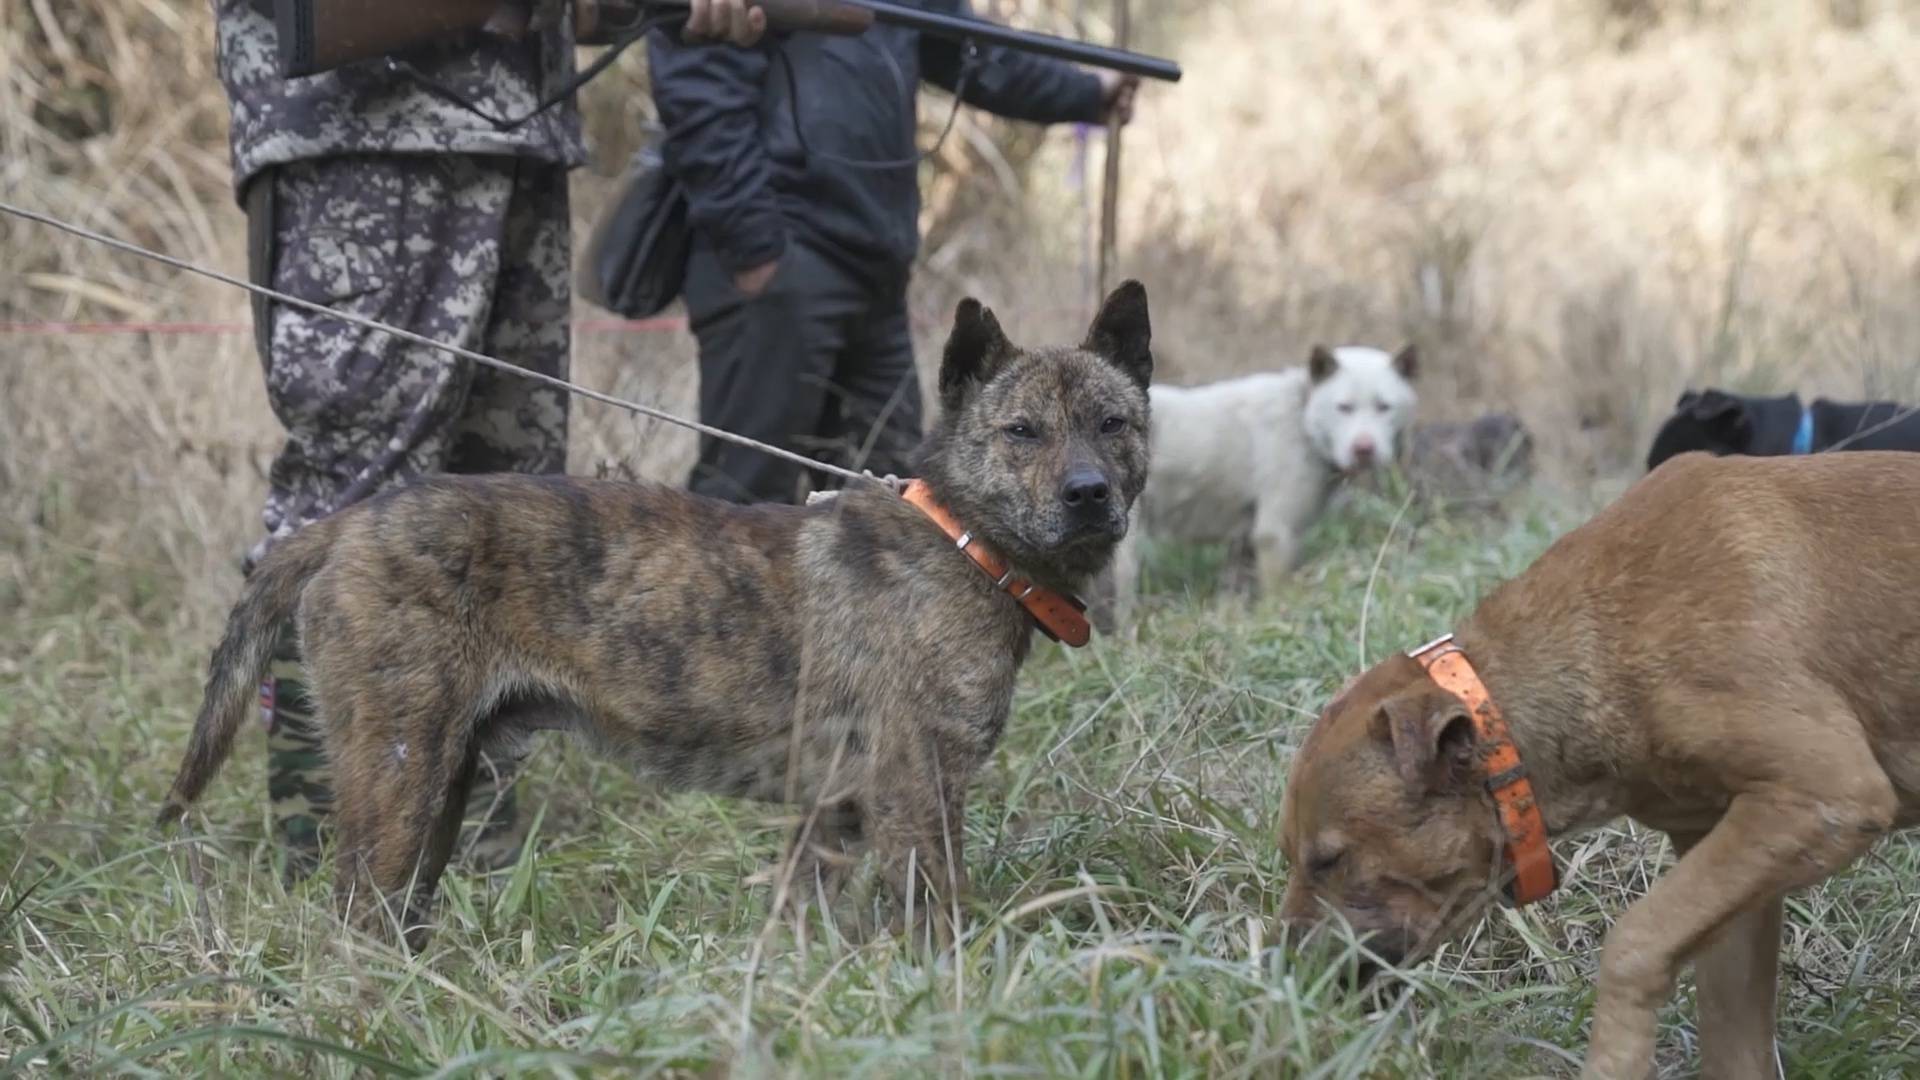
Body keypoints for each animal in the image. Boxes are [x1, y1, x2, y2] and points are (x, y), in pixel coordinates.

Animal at [161, 282, 1152, 945]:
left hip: (440, 785)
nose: (1089, 495)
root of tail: (347, 523)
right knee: (353, 921)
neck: (964, 543)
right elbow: (939, 923)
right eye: (1021, 432)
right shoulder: (917, 794)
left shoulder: (831, 814)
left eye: (1114, 424)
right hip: (399, 775)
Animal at [1105, 336, 1420, 622]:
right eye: (1344, 407)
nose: (1363, 449)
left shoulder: (1244, 542)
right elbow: (1277, 592)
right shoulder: (1275, 532)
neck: (1302, 418)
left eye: (1384, 406)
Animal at [1274, 449, 1920, 1076]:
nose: (1287, 978)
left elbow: (1634, 943)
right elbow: (1732, 1041)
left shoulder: (1825, 792)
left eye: (1329, 860)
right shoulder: (1731, 865)